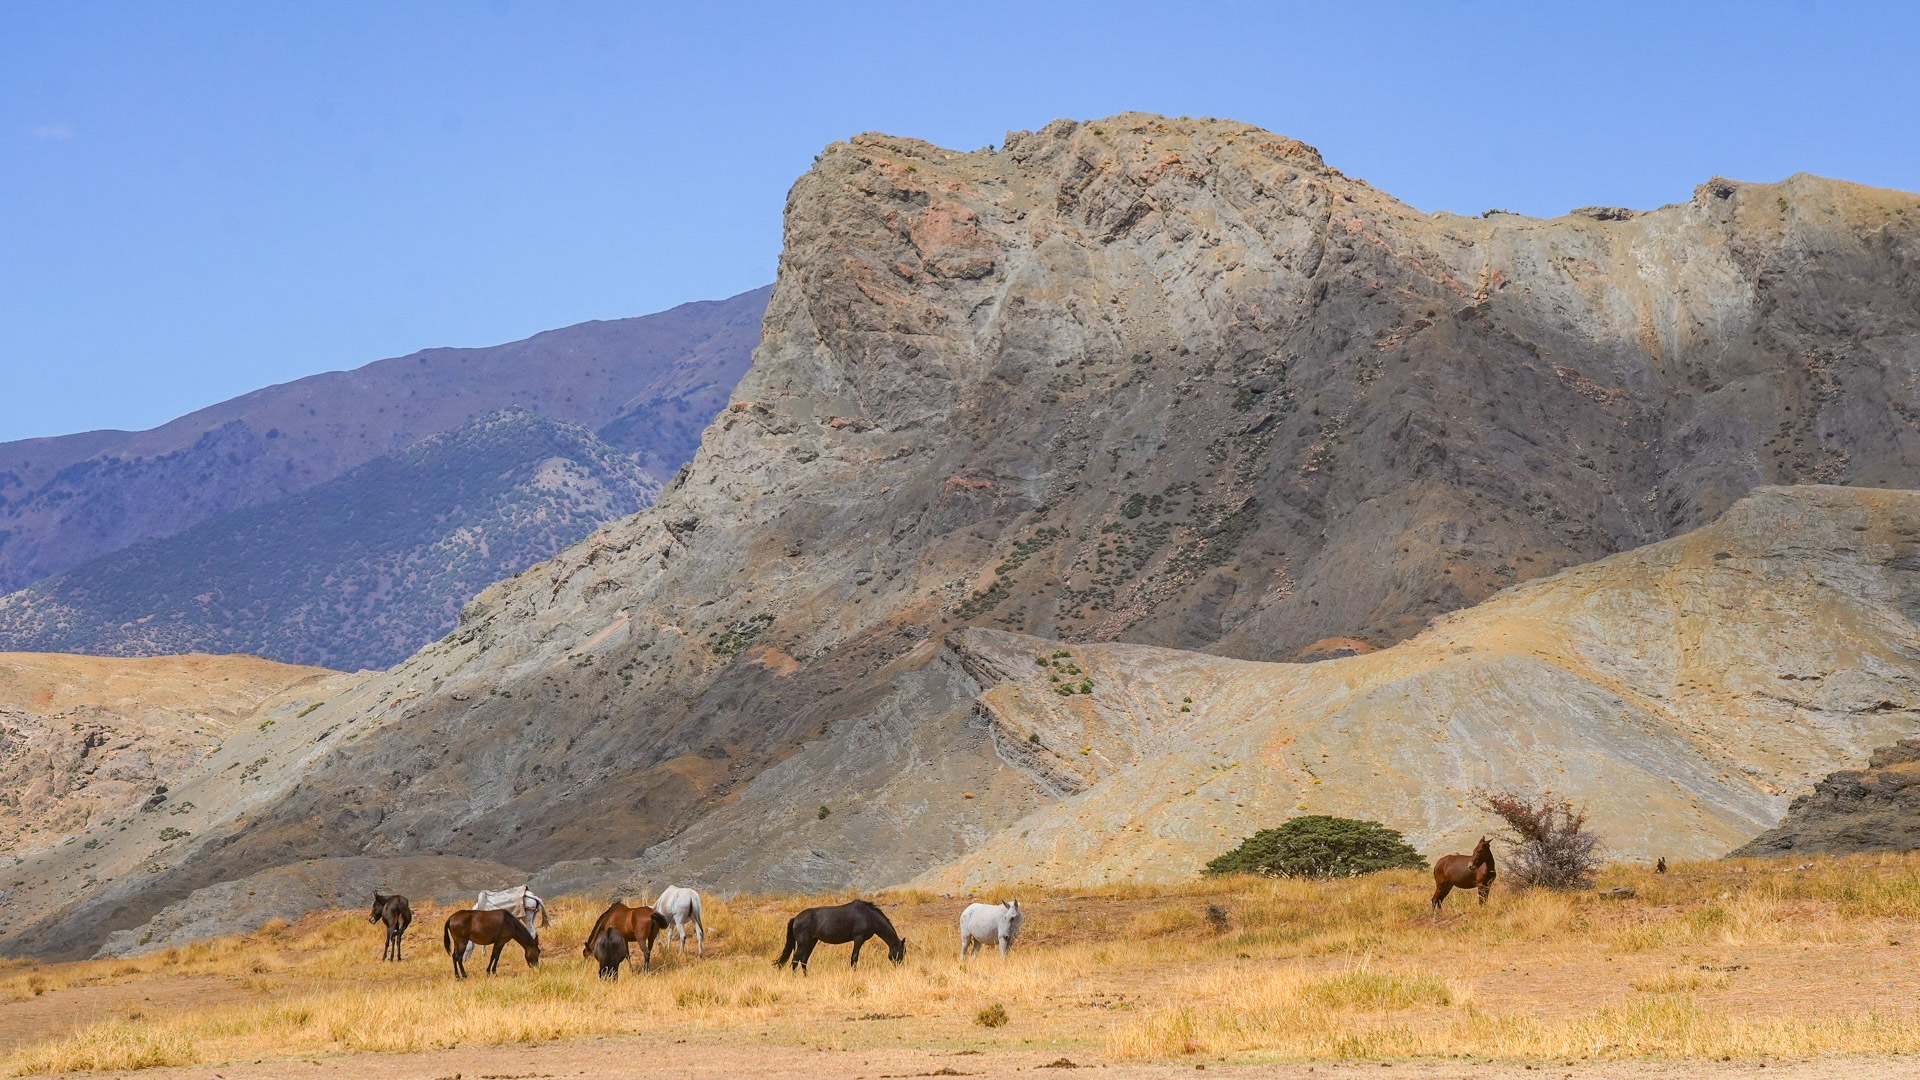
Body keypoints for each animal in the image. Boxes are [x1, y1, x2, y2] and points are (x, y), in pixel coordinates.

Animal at [774, 899, 906, 974]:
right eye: (901, 952)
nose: (899, 967)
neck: (868, 916)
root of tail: (796, 918)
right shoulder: (858, 938)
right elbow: (854, 958)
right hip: (802, 944)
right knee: (795, 960)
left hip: (811, 942)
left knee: (804, 960)